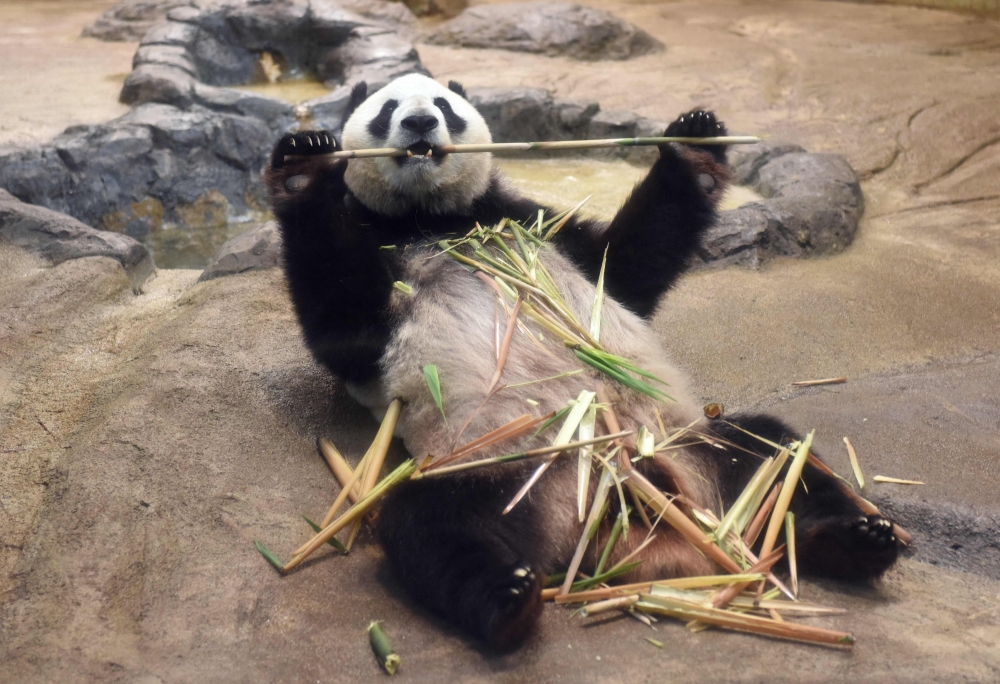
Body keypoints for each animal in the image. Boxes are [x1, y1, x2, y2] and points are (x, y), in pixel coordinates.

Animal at [266, 74, 900, 651]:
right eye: (388, 107)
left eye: (444, 105)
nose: (420, 123)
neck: (431, 217)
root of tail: (618, 507)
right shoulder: (378, 264)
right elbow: (343, 325)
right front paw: (303, 165)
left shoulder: (531, 221)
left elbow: (624, 266)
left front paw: (694, 141)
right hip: (511, 468)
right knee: (435, 524)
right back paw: (508, 600)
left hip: (686, 443)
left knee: (776, 454)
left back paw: (857, 537)